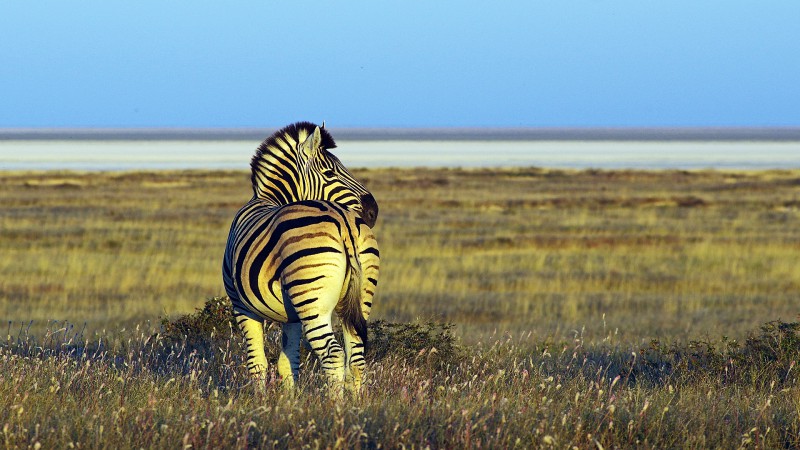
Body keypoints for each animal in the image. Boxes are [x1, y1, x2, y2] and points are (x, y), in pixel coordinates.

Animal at [220, 121, 380, 392]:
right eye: (330, 174)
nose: (373, 211)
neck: (267, 199)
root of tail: (345, 223)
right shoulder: (291, 315)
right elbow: (288, 364)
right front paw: (289, 401)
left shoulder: (241, 305)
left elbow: (257, 363)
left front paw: (259, 401)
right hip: (359, 297)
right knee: (357, 358)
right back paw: (357, 404)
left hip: (313, 301)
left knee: (332, 355)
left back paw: (334, 404)